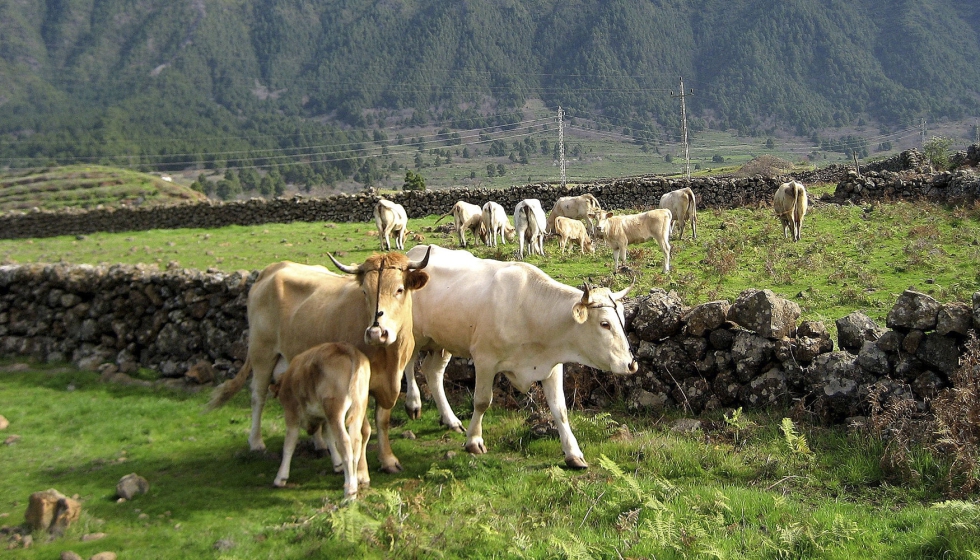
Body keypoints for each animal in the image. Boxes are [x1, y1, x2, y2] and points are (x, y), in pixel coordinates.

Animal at [207, 249, 431, 475]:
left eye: (399, 289)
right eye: (365, 292)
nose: (376, 333)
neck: (388, 356)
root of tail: (272, 269)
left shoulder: (391, 380)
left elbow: (382, 421)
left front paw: (388, 460)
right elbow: (362, 428)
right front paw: (360, 470)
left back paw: (320, 444)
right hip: (262, 353)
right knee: (258, 396)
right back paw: (256, 442)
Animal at [270, 342, 371, 500]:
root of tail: (345, 348)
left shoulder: (291, 414)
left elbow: (289, 445)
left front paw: (281, 477)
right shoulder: (325, 419)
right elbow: (327, 436)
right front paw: (337, 465)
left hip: (334, 409)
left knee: (345, 442)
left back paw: (349, 491)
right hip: (358, 406)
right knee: (356, 440)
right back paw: (355, 483)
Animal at [401, 245, 638, 469]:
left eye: (622, 319)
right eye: (604, 324)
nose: (631, 364)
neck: (529, 310)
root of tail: (415, 253)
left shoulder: (551, 366)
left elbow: (560, 409)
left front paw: (573, 453)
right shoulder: (485, 360)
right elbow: (482, 401)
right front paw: (474, 441)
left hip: (441, 341)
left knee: (433, 372)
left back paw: (450, 419)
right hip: (414, 334)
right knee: (408, 364)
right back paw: (413, 403)